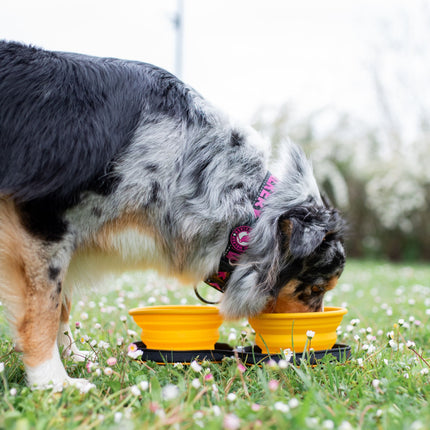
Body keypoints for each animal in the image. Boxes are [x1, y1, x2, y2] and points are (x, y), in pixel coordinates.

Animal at [0, 42, 344, 392]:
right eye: (315, 290)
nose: (308, 339)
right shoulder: (44, 216)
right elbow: (44, 307)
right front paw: (53, 381)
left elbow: (62, 304)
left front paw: (73, 356)